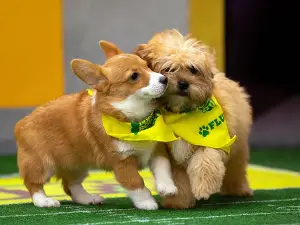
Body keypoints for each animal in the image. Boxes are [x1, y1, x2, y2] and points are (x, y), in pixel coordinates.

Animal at [14, 40, 177, 209]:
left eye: (147, 66)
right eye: (134, 76)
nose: (164, 79)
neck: (136, 121)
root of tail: (22, 122)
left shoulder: (156, 149)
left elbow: (163, 168)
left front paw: (167, 188)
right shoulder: (122, 163)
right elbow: (136, 183)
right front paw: (147, 203)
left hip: (77, 164)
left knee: (70, 185)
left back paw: (88, 198)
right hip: (41, 165)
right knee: (33, 184)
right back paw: (44, 201)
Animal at [135, 29, 254, 209]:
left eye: (193, 69)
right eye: (168, 69)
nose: (183, 83)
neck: (183, 112)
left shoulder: (212, 140)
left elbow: (205, 162)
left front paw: (203, 188)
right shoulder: (173, 155)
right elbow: (178, 178)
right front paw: (178, 202)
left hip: (237, 146)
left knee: (236, 168)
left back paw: (239, 189)